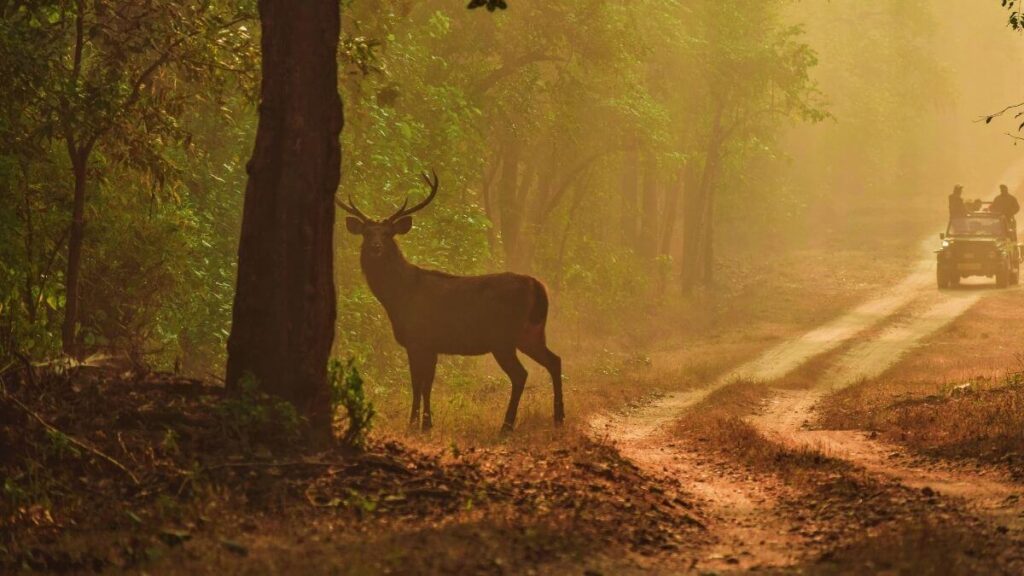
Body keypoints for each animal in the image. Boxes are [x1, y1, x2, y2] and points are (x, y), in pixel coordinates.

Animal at [337, 171, 565, 430]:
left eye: (387, 234)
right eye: (367, 233)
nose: (375, 247)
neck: (398, 297)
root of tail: (537, 286)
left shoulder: (418, 339)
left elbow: (417, 383)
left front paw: (414, 423)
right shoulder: (432, 345)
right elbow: (427, 384)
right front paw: (426, 423)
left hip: (503, 337)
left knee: (521, 373)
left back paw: (506, 426)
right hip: (531, 332)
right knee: (554, 360)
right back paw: (558, 418)